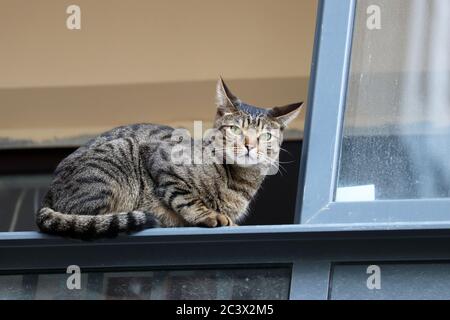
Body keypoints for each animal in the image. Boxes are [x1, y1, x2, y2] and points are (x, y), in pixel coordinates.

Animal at [36, 79, 302, 239]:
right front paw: (210, 216)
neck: (239, 181)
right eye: (235, 130)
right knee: (89, 218)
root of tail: (47, 194)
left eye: (265, 136)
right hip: (118, 156)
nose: (249, 146)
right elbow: (186, 198)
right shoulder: (161, 158)